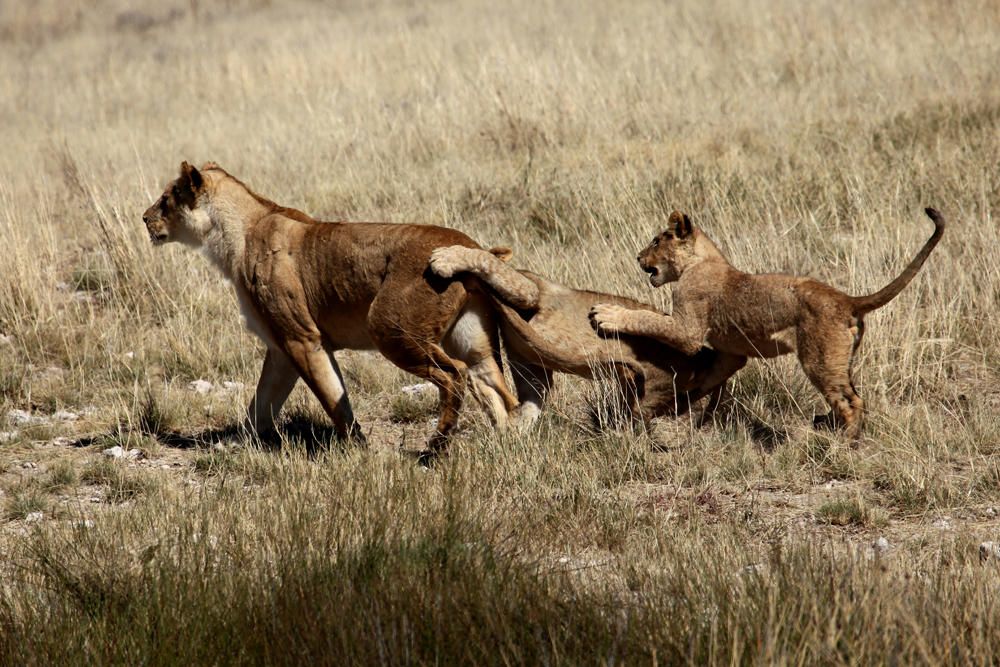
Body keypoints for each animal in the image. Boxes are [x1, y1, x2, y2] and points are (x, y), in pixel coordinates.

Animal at [144, 162, 520, 454]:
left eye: (165, 199)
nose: (144, 217)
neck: (233, 236)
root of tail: (473, 248)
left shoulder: (303, 339)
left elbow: (332, 399)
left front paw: (357, 450)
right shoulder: (281, 347)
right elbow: (263, 400)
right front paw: (238, 442)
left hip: (389, 329)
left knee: (455, 374)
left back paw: (437, 444)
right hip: (472, 339)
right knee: (496, 389)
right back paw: (506, 445)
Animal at [426, 245, 748, 428]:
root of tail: (704, 355)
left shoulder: (530, 291)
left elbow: (487, 261)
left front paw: (446, 256)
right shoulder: (530, 365)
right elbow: (532, 400)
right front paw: (516, 436)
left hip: (654, 389)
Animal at [588, 209, 948, 438]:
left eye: (655, 241)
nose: (637, 257)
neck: (699, 261)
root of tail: (846, 298)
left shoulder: (688, 328)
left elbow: (648, 318)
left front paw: (606, 314)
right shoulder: (731, 354)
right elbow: (708, 381)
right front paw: (684, 408)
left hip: (818, 359)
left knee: (851, 402)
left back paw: (843, 445)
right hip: (840, 359)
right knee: (850, 395)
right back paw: (827, 425)